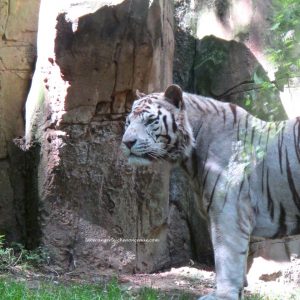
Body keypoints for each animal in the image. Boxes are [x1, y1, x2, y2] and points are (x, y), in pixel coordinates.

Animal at [120, 84, 300, 300]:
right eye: (129, 122)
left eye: (150, 120)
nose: (127, 142)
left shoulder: (228, 212)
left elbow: (227, 257)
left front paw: (223, 295)